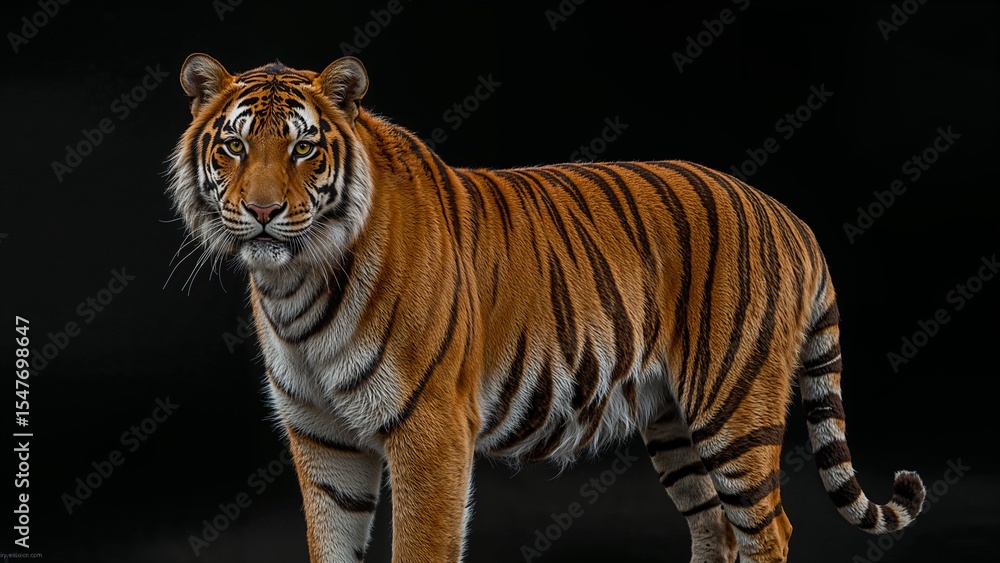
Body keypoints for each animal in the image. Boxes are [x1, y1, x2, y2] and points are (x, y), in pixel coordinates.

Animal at [166, 53, 926, 563]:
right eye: (234, 145)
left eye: (303, 146)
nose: (264, 212)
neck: (296, 283)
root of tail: (789, 216)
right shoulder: (321, 436)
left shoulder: (429, 431)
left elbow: (420, 546)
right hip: (673, 423)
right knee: (715, 527)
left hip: (733, 408)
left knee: (767, 529)